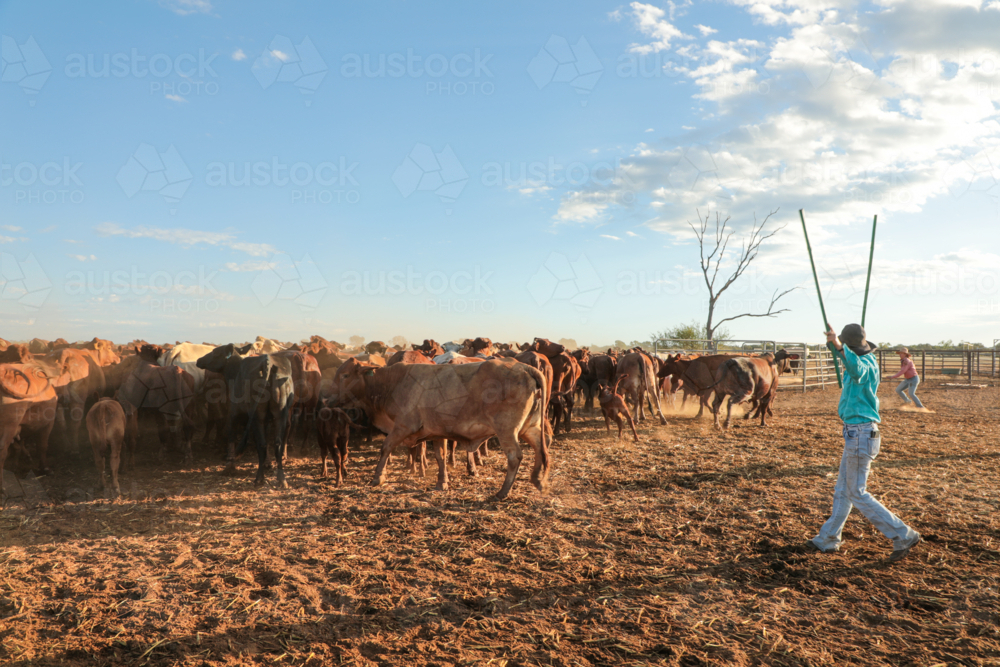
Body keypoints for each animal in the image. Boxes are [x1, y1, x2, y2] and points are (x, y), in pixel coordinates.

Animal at [1, 362, 58, 501]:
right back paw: (2, 490)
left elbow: (19, 446)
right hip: (9, 426)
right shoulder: (48, 423)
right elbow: (42, 446)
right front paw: (46, 468)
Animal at [196, 344, 296, 487]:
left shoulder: (233, 413)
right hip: (280, 414)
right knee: (277, 443)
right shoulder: (267, 420)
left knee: (261, 443)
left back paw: (259, 478)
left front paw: (229, 465)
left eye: (215, 352)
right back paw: (281, 479)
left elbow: (231, 436)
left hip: (256, 416)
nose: (199, 360)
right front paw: (267, 463)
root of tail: (268, 363)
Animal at [332, 359, 551, 499]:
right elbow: (441, 456)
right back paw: (538, 479)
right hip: (530, 427)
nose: (328, 397)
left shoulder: (402, 426)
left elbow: (385, 448)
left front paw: (378, 477)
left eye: (345, 375)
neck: (391, 383)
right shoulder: (437, 432)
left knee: (515, 456)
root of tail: (524, 367)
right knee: (541, 448)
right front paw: (442, 482)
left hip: (507, 429)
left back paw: (502, 492)